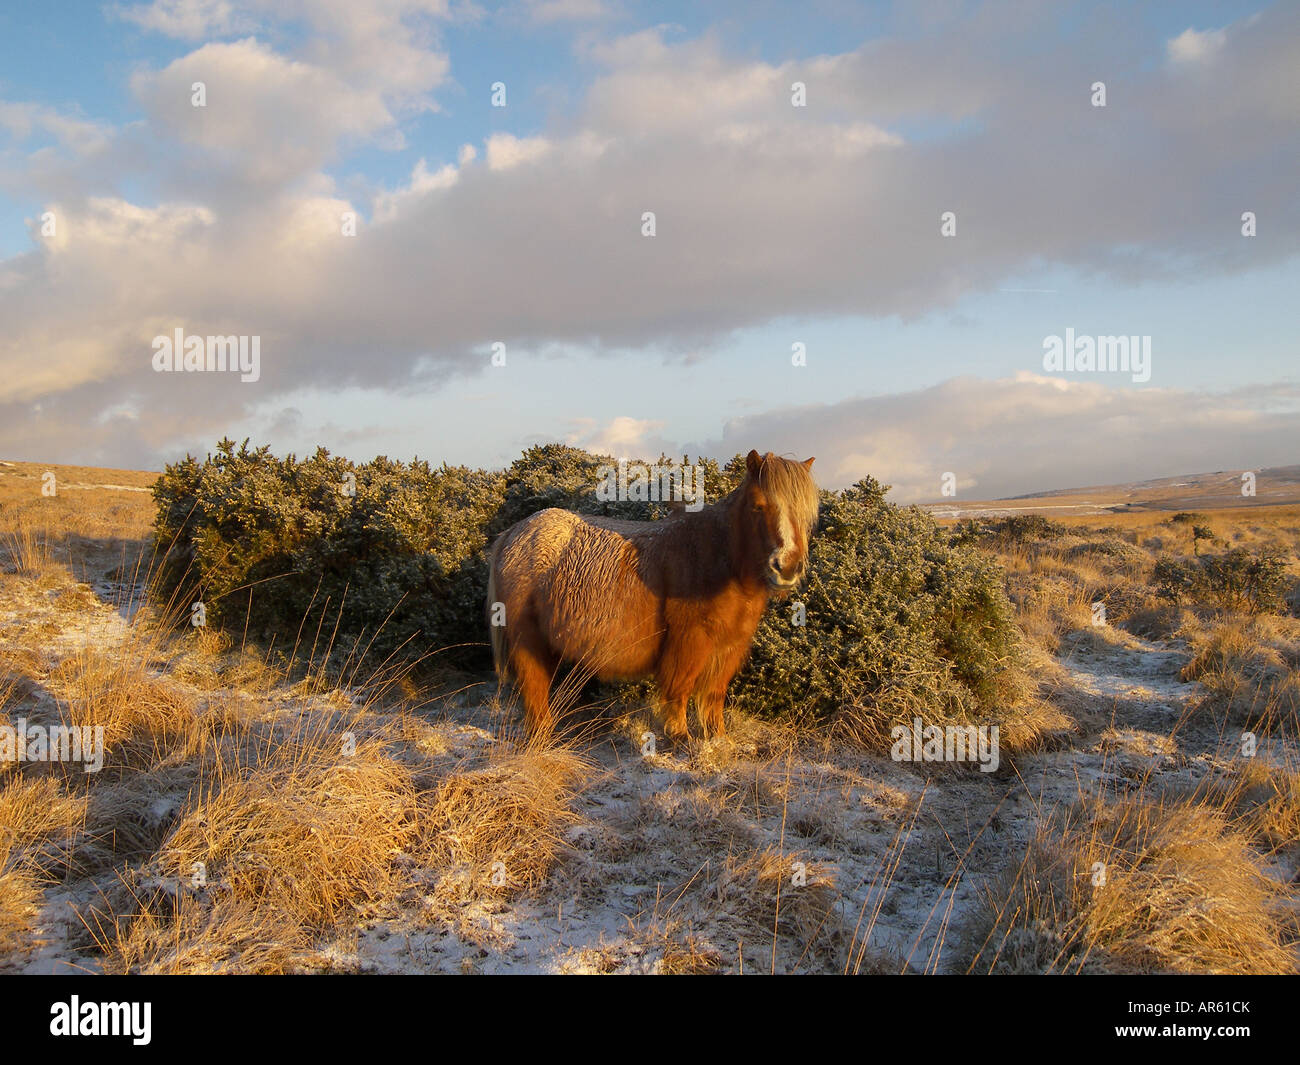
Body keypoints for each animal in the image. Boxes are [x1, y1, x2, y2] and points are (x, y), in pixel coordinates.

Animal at [483, 452, 816, 743]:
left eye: (807, 515)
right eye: (759, 506)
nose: (787, 566)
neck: (720, 557)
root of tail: (514, 532)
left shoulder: (728, 650)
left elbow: (713, 702)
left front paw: (718, 741)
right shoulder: (688, 644)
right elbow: (679, 693)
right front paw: (680, 739)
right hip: (528, 642)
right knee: (535, 692)